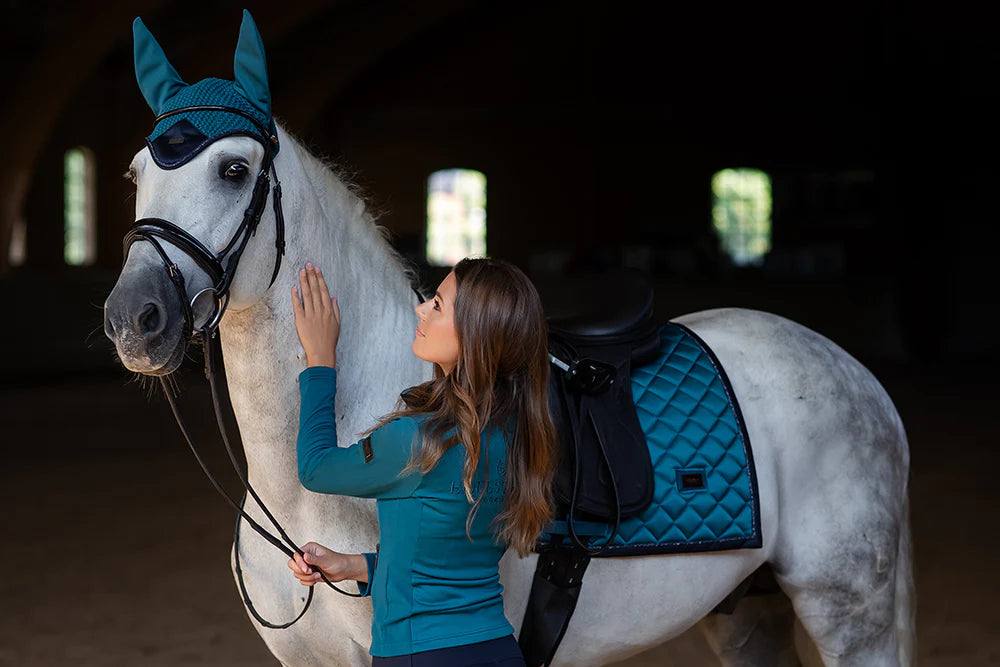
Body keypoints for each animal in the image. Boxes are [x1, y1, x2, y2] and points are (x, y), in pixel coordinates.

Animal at [103, 15, 916, 667]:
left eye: (234, 169)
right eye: (137, 172)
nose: (133, 318)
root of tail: (854, 374)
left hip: (854, 618)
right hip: (747, 611)